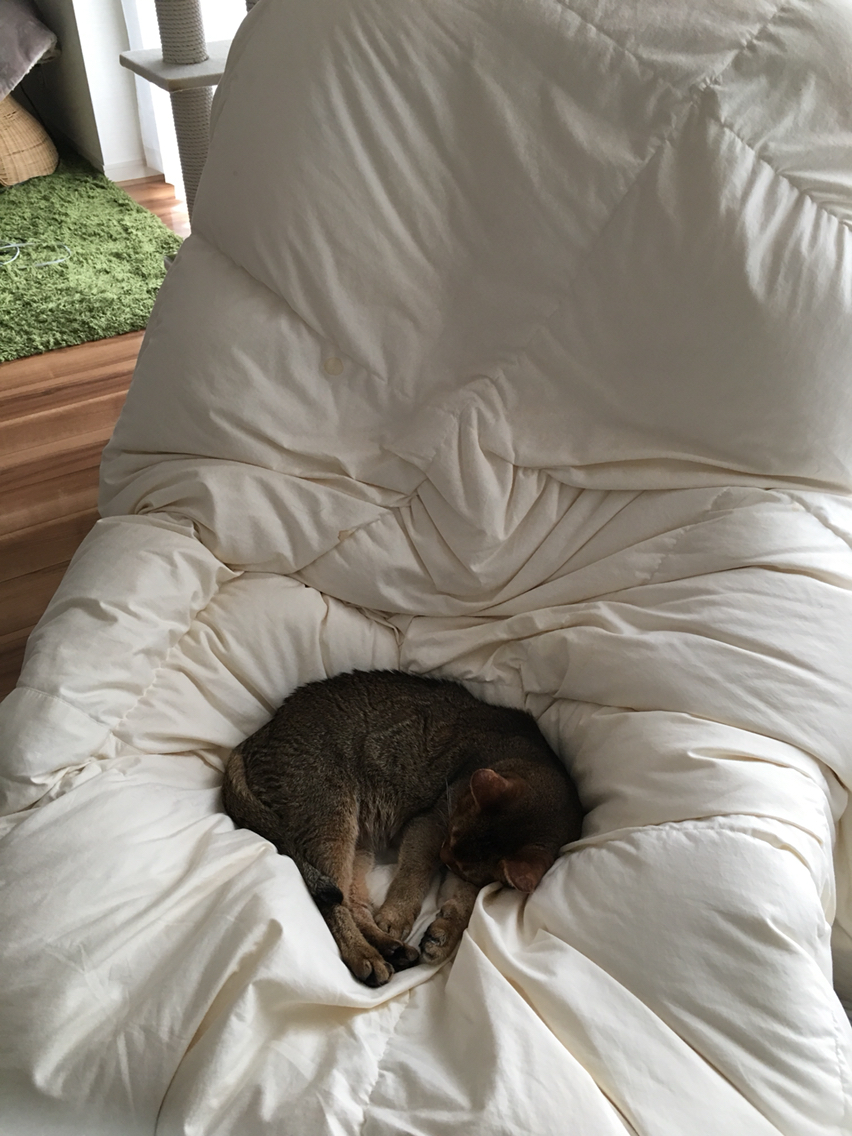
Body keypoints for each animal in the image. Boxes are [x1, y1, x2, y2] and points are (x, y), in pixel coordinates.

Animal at [222, 669, 583, 986]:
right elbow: (414, 873)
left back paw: (389, 948)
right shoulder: (431, 822)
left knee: (351, 900)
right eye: (451, 833)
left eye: (460, 864)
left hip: (358, 841)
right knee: (331, 903)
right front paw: (397, 917)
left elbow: (468, 900)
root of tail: (259, 734)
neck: (525, 757)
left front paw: (446, 935)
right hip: (331, 818)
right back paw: (365, 955)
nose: (445, 859)